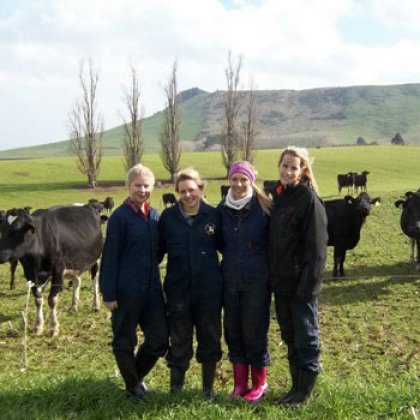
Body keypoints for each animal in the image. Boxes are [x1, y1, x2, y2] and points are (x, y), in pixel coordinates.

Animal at [0, 205, 105, 336]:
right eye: (2, 230)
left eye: (17, 230)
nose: (1, 254)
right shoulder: (30, 274)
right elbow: (38, 300)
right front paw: (38, 326)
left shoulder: (57, 272)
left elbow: (52, 300)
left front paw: (53, 327)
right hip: (75, 263)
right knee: (77, 282)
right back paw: (74, 306)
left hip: (96, 260)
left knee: (95, 282)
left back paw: (96, 306)